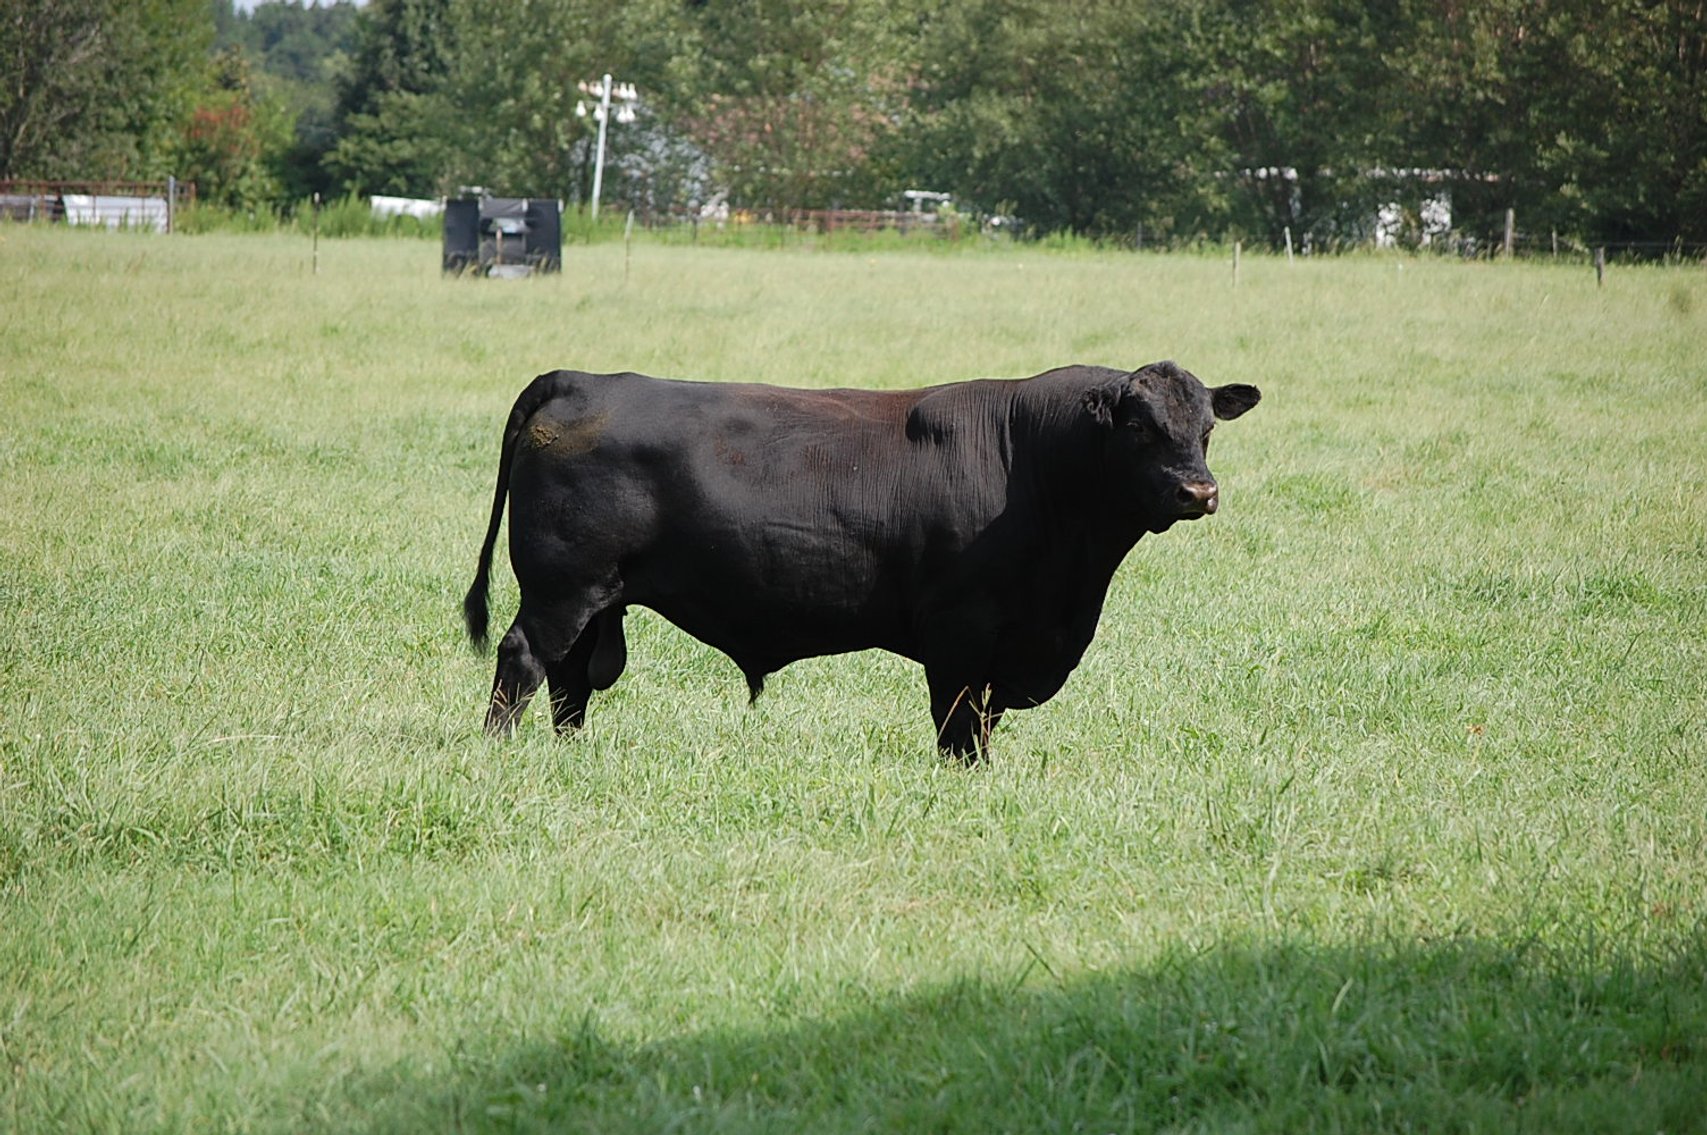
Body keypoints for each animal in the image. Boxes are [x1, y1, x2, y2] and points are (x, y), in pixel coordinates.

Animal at [463, 361, 1260, 760]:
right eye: (1139, 426)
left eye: (1206, 428)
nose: (1199, 491)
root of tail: (584, 378)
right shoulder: (962, 633)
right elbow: (959, 723)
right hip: (561, 588)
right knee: (524, 658)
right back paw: (498, 751)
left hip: (595, 597)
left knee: (571, 679)